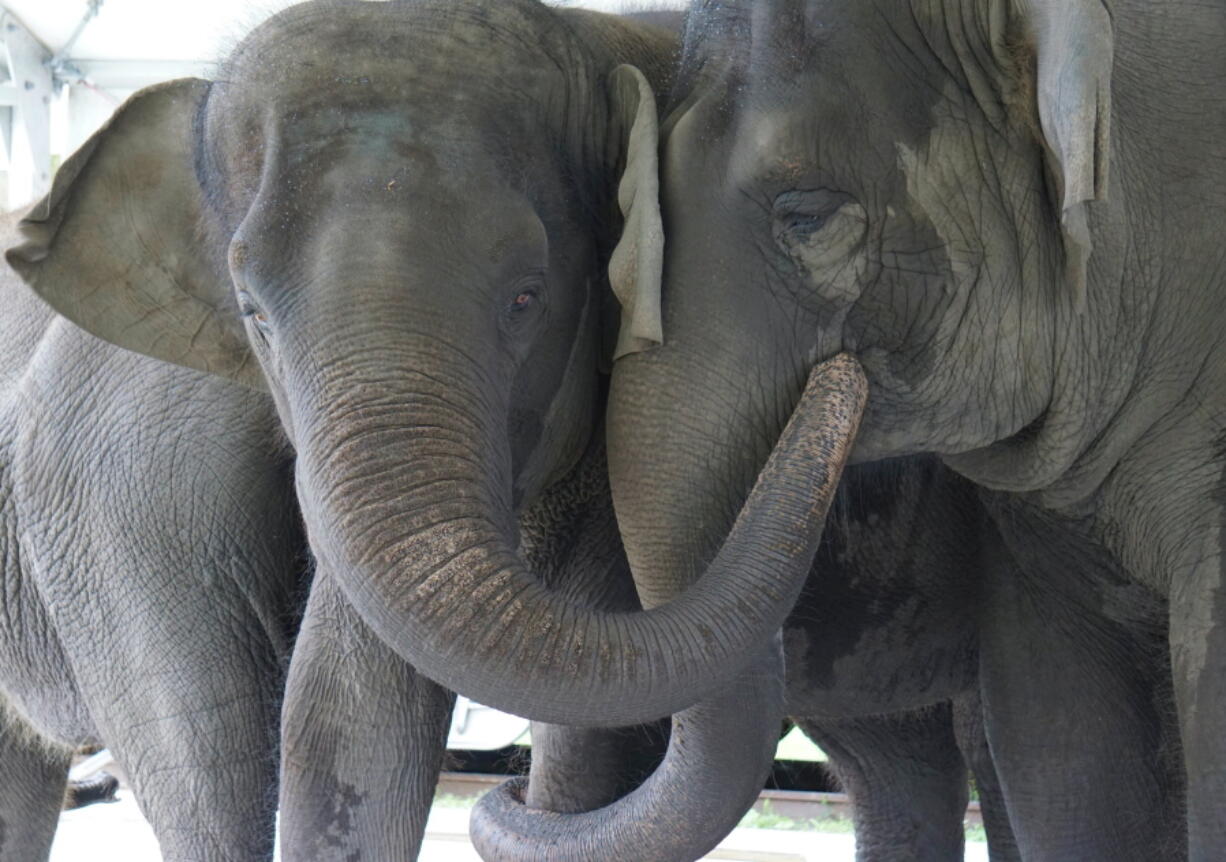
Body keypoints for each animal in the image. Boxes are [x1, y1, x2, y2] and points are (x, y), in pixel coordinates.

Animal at [0, 1, 868, 862]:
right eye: (254, 315)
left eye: (526, 296)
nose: (842, 375)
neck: (590, 31)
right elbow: (344, 712)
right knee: (204, 754)